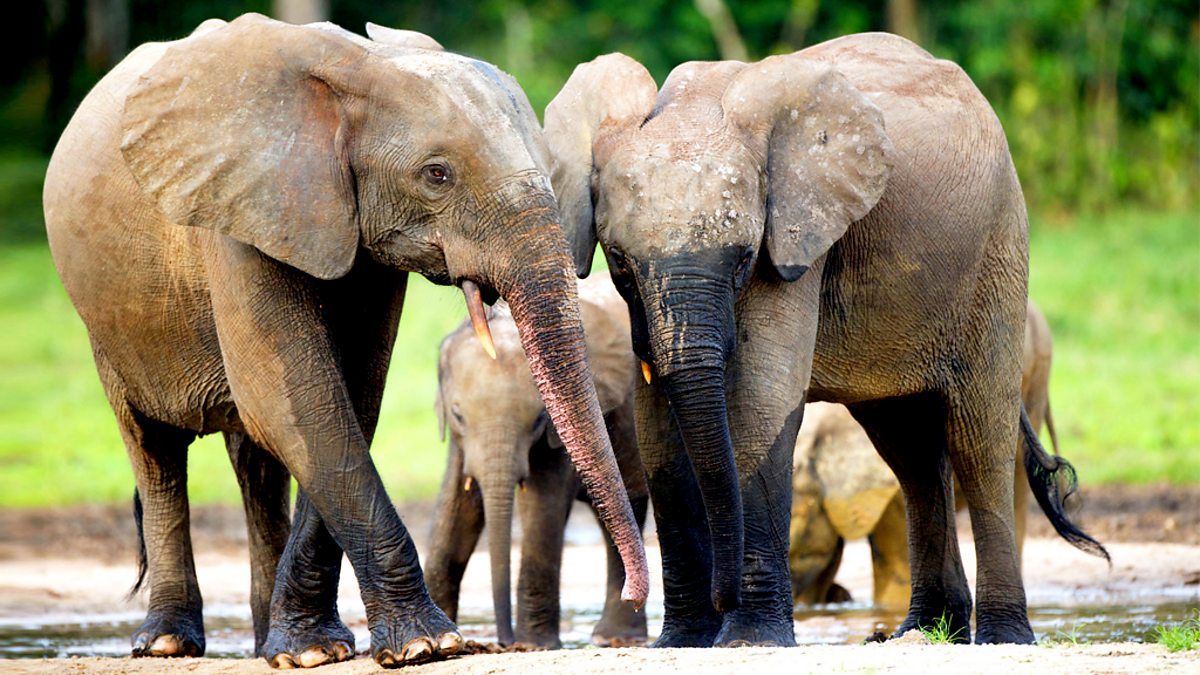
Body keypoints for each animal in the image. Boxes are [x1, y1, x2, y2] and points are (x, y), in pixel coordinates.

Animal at [423, 271, 649, 648]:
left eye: (538, 420)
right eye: (457, 415)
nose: (502, 641)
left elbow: (543, 504)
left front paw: (531, 645)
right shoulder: (459, 443)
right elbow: (457, 507)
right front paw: (444, 638)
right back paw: (613, 637)